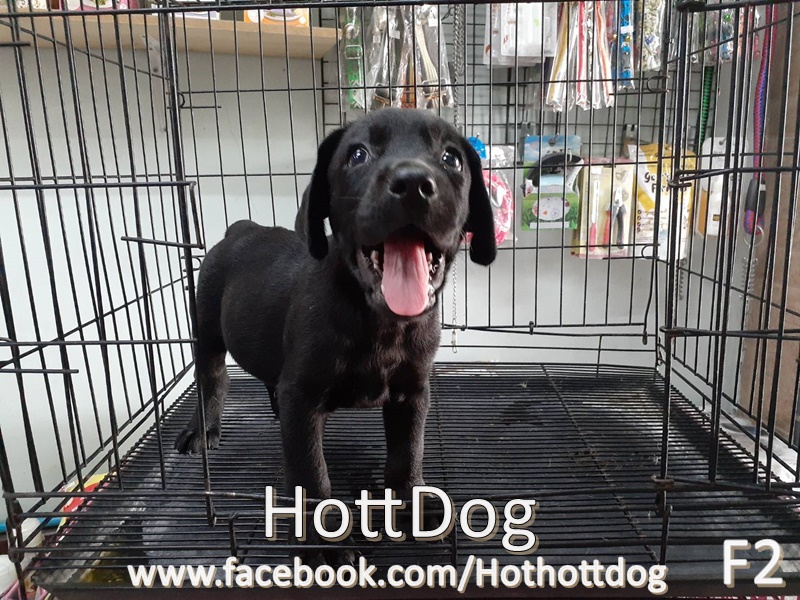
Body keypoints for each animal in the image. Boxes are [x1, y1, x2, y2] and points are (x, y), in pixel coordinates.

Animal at [175, 109, 496, 518]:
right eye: (358, 155)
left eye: (451, 158)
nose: (412, 183)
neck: (380, 321)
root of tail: (241, 229)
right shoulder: (302, 396)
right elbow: (310, 474)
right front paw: (316, 531)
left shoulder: (411, 392)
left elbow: (408, 452)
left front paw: (414, 501)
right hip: (207, 327)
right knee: (212, 376)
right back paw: (203, 429)